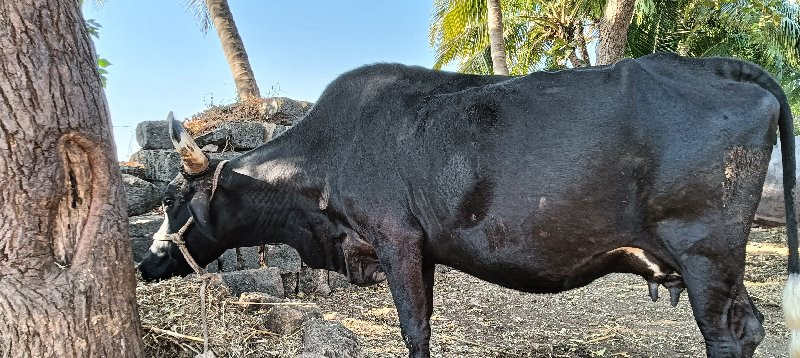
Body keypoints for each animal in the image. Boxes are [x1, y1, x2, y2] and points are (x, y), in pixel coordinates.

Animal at [139, 53, 800, 358]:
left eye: (173, 198)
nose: (145, 262)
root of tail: (715, 66)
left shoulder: (397, 240)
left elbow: (414, 330)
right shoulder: (423, 251)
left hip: (704, 252)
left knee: (725, 334)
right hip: (719, 261)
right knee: (751, 324)